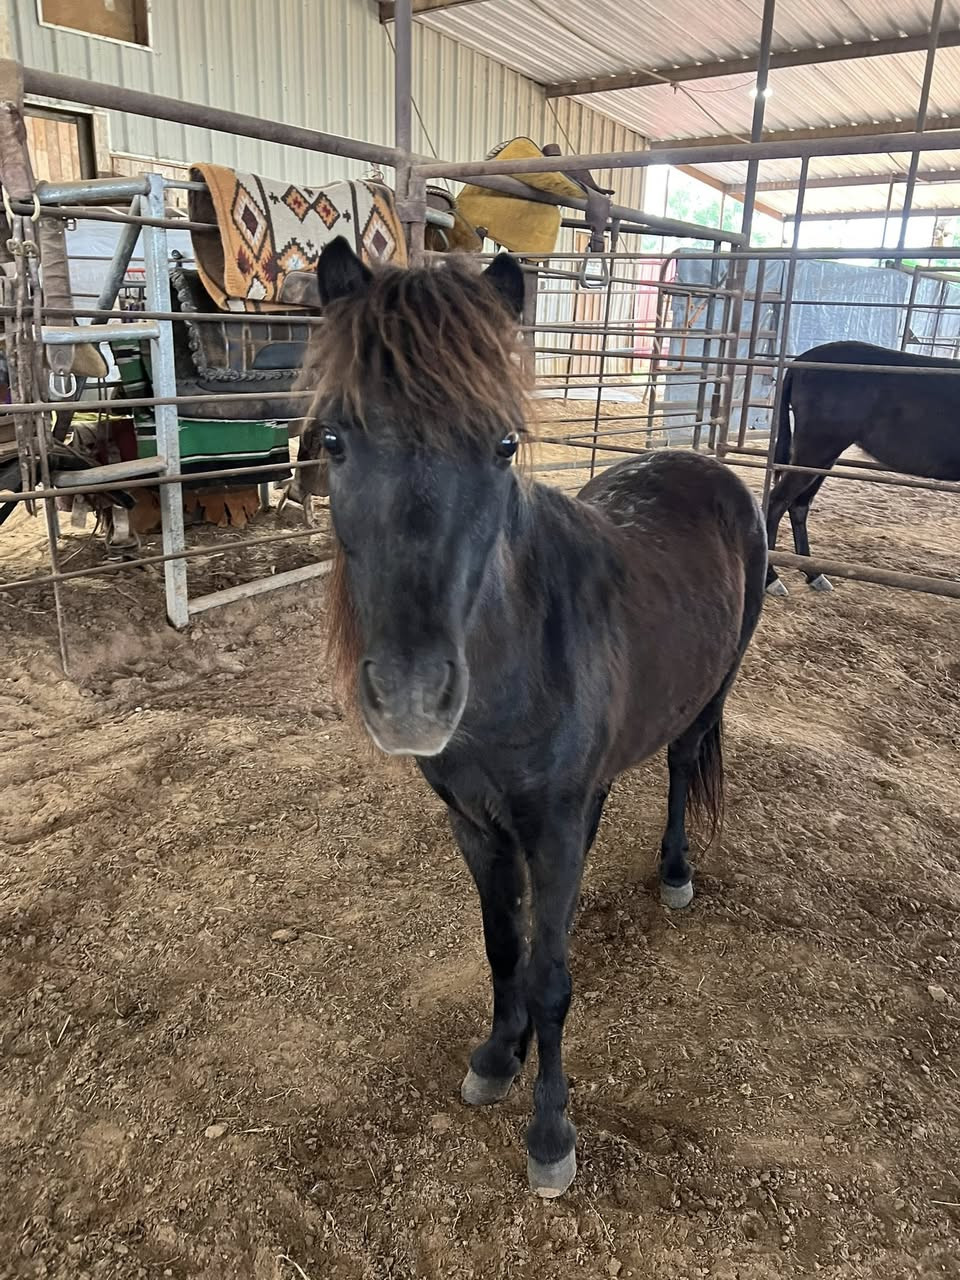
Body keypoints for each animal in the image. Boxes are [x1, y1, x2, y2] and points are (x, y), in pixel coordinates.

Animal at [304, 237, 768, 1198]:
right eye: (333, 438)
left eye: (504, 442)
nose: (413, 698)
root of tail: (708, 467)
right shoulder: (475, 825)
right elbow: (503, 948)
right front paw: (497, 1052)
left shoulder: (549, 829)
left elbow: (552, 977)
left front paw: (551, 1132)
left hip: (712, 693)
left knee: (681, 767)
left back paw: (676, 871)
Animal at [765, 340, 960, 596]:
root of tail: (801, 361)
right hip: (817, 448)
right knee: (777, 503)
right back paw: (771, 578)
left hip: (825, 456)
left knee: (798, 506)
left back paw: (814, 574)